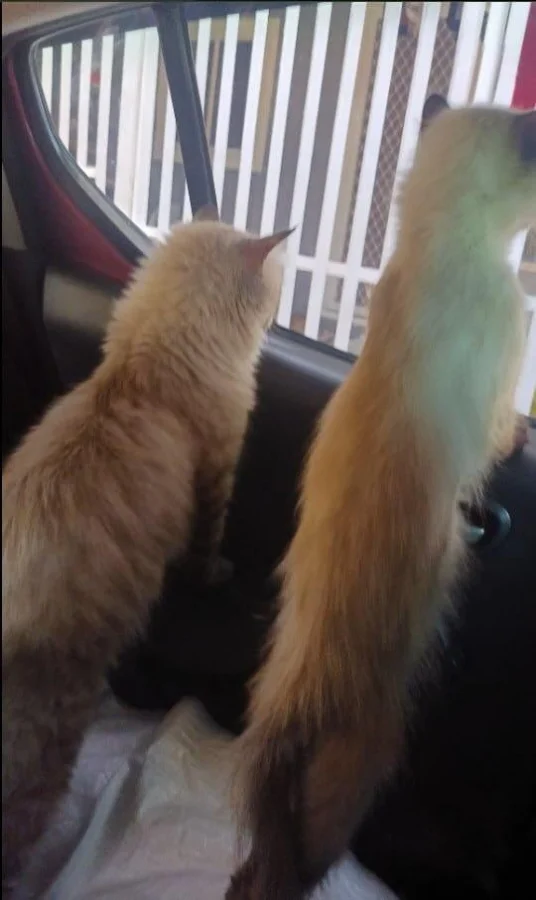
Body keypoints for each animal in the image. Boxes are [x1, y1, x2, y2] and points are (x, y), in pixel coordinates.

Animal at [2, 206, 291, 889]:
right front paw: (218, 571)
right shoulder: (215, 482)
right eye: (274, 289)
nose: (279, 315)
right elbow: (205, 554)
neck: (141, 375)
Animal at [226, 99, 535, 899]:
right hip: (359, 781)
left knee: (254, 867)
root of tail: (295, 705)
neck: (439, 244)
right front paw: (527, 435)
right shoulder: (501, 377)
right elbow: (506, 433)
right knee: (292, 871)